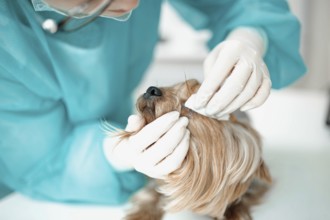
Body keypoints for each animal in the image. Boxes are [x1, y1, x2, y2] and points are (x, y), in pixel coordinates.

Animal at [116, 79, 270, 220]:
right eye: (175, 87)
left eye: (191, 108)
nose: (152, 90)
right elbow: (151, 194)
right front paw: (141, 214)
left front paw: (235, 212)